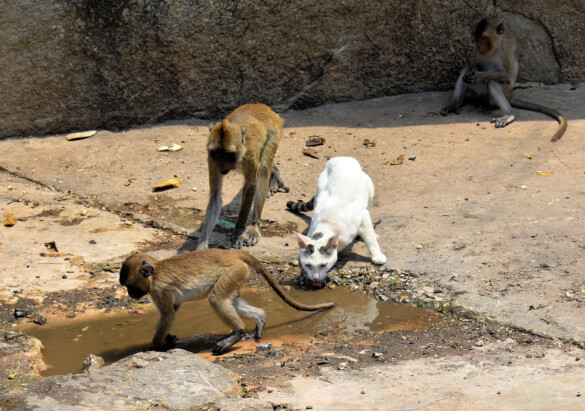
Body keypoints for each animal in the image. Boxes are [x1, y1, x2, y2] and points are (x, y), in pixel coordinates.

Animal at [118, 246, 334, 356]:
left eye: (130, 286)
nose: (131, 295)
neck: (156, 272)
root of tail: (231, 253)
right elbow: (173, 310)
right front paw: (169, 338)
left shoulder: (159, 289)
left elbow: (168, 315)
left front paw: (154, 345)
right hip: (238, 274)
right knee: (231, 300)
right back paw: (260, 319)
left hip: (233, 271)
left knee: (217, 299)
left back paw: (238, 333)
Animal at [196, 103, 288, 251]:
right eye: (216, 153)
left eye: (228, 154)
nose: (221, 164)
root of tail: (262, 106)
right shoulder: (212, 161)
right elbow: (215, 198)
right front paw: (202, 245)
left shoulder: (249, 154)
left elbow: (252, 186)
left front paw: (239, 232)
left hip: (275, 131)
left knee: (262, 170)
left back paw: (254, 225)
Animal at [288, 156, 388, 288]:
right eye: (308, 265)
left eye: (323, 265)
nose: (315, 278)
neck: (326, 226)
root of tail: (341, 158)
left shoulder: (363, 216)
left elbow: (370, 239)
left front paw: (377, 256)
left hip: (369, 188)